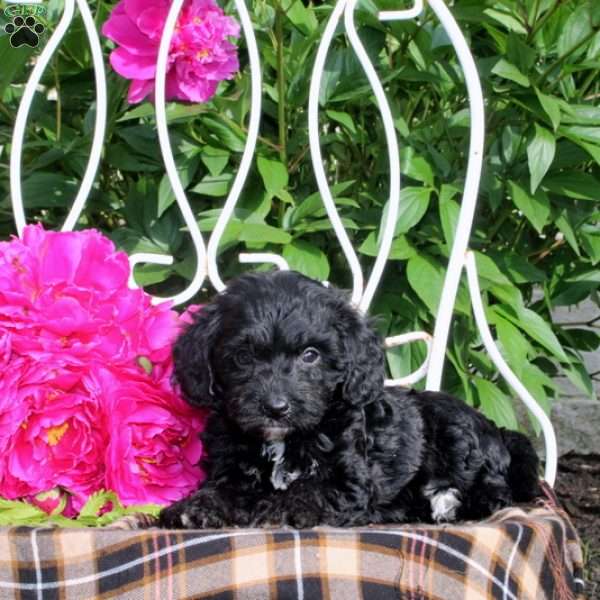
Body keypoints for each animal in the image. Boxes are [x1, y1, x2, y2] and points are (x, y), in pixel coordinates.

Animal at [158, 270, 540, 528]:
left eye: (310, 355)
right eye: (242, 357)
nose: (276, 408)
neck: (284, 440)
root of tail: (499, 432)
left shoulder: (349, 478)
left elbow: (313, 488)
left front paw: (281, 508)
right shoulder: (231, 469)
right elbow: (222, 489)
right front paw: (195, 508)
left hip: (455, 431)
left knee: (494, 492)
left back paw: (446, 502)